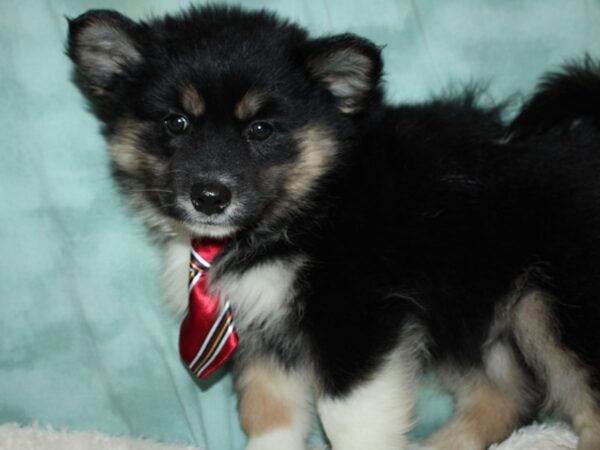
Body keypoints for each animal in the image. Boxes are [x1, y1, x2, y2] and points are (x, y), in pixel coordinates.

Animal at [68, 7, 600, 450]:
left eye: (260, 129)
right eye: (175, 122)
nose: (210, 197)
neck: (309, 206)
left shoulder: (356, 316)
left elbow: (348, 418)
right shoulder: (262, 327)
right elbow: (269, 413)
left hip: (554, 306)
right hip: (472, 315)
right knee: (505, 398)